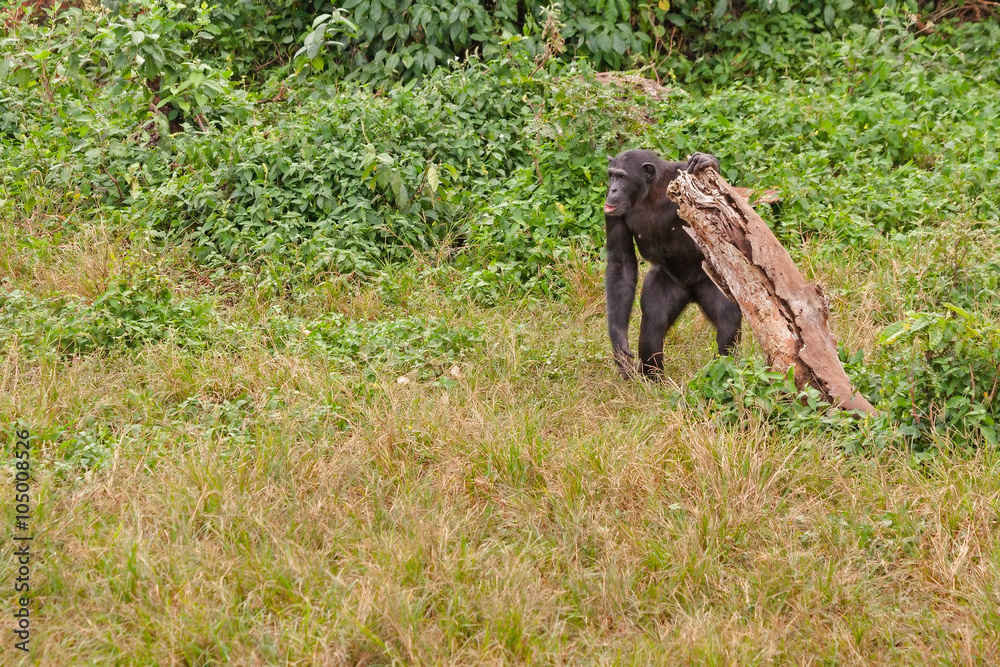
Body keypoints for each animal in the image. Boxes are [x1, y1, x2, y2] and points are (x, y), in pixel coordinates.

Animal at [604, 149, 741, 378]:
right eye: (611, 175)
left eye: (622, 177)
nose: (612, 188)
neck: (650, 193)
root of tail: (691, 293)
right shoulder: (612, 212)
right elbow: (621, 263)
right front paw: (620, 343)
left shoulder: (682, 173)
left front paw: (707, 161)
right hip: (668, 284)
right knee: (654, 323)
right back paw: (653, 378)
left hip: (713, 279)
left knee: (727, 319)